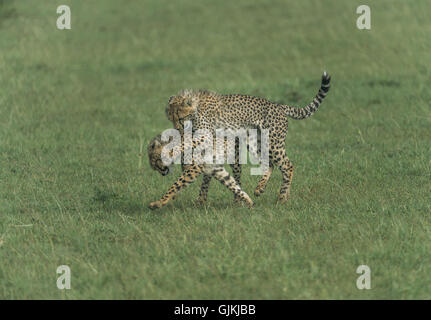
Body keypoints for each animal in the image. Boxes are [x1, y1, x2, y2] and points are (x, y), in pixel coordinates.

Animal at [150, 71, 332, 209]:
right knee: (270, 164)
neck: (196, 108)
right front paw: (200, 199)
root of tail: (278, 105)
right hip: (255, 143)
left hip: (273, 144)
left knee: (287, 166)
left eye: (180, 118)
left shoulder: (206, 135)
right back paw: (261, 189)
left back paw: (281, 198)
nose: (178, 128)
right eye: (171, 119)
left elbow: (189, 147)